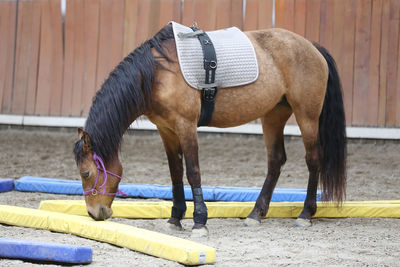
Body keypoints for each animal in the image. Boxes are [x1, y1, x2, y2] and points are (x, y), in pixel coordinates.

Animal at [74, 23, 346, 237]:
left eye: (86, 173)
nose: (95, 213)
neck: (157, 74)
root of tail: (312, 47)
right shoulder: (166, 130)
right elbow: (175, 173)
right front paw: (175, 218)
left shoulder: (186, 126)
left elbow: (193, 172)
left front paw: (199, 222)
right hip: (273, 116)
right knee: (276, 161)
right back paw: (255, 214)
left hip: (307, 116)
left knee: (313, 159)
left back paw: (305, 214)